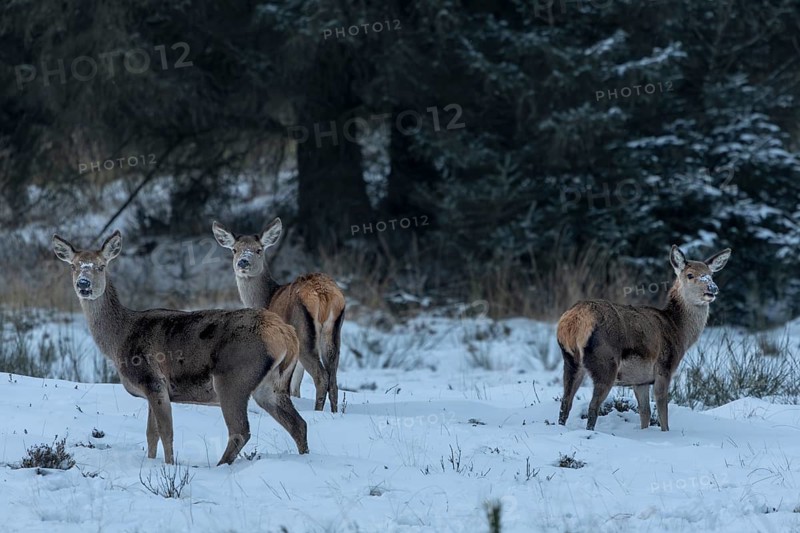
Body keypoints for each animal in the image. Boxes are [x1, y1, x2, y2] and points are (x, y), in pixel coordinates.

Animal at [52, 230, 309, 465]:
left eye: (101, 266)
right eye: (74, 266)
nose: (83, 284)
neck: (119, 339)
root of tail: (286, 334)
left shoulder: (153, 380)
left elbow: (166, 433)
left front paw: (169, 466)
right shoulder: (153, 389)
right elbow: (151, 434)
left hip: (232, 377)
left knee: (240, 431)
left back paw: (219, 467)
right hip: (271, 385)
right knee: (298, 424)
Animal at [212, 218, 346, 412]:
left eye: (258, 250)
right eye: (234, 250)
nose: (243, 262)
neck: (267, 298)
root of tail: (324, 294)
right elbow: (296, 385)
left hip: (302, 331)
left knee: (321, 377)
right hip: (334, 330)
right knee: (333, 379)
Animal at [556, 245, 731, 432]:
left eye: (711, 274)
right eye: (690, 275)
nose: (712, 288)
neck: (678, 330)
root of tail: (573, 322)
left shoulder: (640, 380)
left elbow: (645, 413)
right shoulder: (664, 367)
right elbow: (662, 412)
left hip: (571, 361)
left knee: (565, 403)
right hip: (605, 361)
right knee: (592, 406)